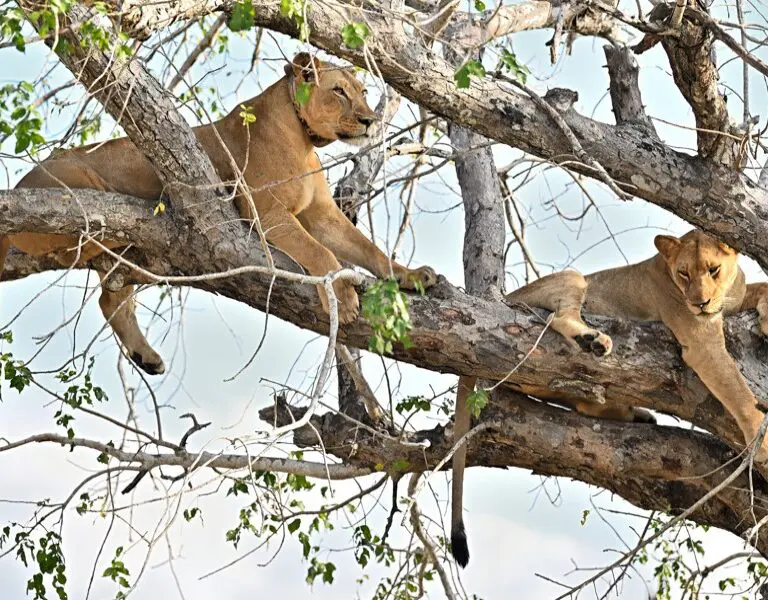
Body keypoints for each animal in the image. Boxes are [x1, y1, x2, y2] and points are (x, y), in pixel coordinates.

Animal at [1, 52, 437, 375]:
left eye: (363, 91)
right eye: (339, 92)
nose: (370, 121)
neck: (304, 141)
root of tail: (20, 186)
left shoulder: (324, 217)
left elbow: (370, 250)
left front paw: (414, 276)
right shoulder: (265, 213)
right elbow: (321, 253)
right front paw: (343, 299)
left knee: (111, 298)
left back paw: (148, 358)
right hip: (81, 190)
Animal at [450, 230, 768, 567]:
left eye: (713, 269)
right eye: (683, 274)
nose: (700, 303)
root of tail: (507, 298)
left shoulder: (733, 298)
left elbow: (761, 285)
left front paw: (765, 318)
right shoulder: (701, 342)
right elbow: (738, 392)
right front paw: (761, 439)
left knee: (583, 402)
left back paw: (635, 411)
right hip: (574, 278)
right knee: (557, 319)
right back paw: (593, 341)